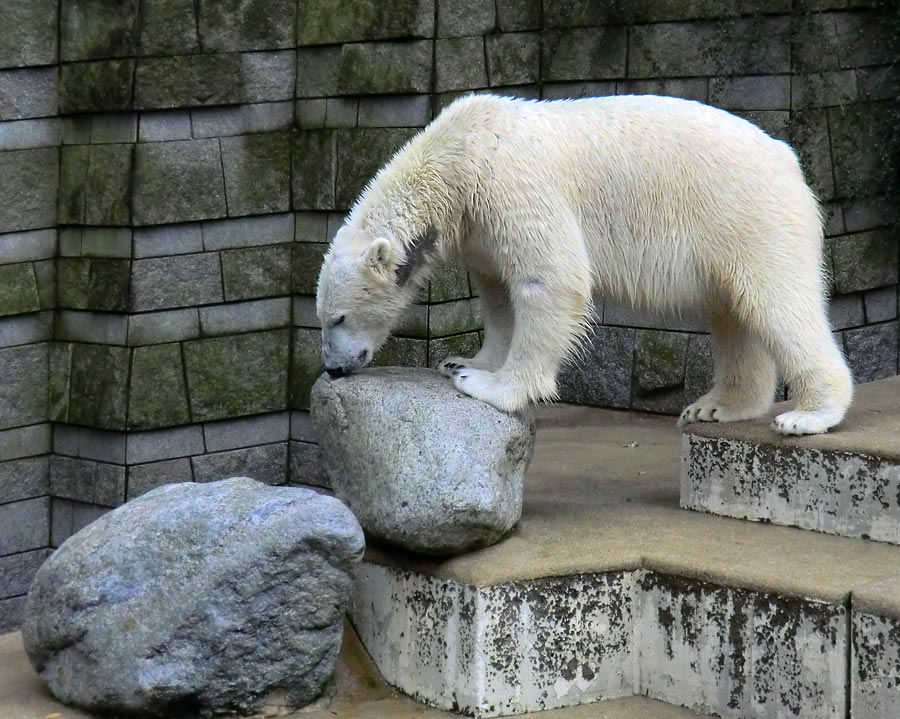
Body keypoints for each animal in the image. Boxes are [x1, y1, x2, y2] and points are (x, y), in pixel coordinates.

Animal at [316, 93, 852, 436]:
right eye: (323, 318)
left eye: (337, 318)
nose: (334, 369)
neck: (452, 158)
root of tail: (790, 160)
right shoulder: (478, 227)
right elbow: (498, 295)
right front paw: (465, 361)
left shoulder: (508, 181)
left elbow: (552, 279)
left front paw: (489, 385)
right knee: (734, 313)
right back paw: (716, 407)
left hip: (750, 216)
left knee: (778, 304)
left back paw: (808, 414)